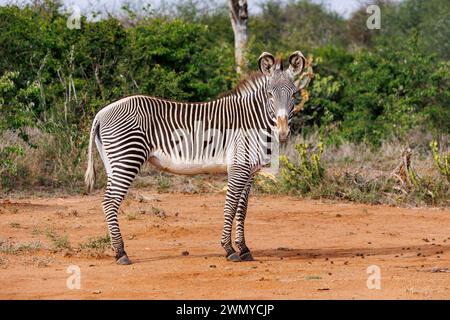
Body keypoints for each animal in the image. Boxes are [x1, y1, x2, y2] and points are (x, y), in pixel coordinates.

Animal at [84, 50, 312, 264]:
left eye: (294, 94)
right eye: (269, 94)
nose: (283, 133)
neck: (253, 120)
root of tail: (101, 113)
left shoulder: (250, 171)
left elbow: (242, 209)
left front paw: (244, 249)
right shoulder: (238, 167)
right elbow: (230, 206)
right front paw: (229, 250)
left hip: (113, 162)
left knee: (108, 201)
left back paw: (117, 250)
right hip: (127, 158)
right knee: (110, 202)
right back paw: (121, 253)